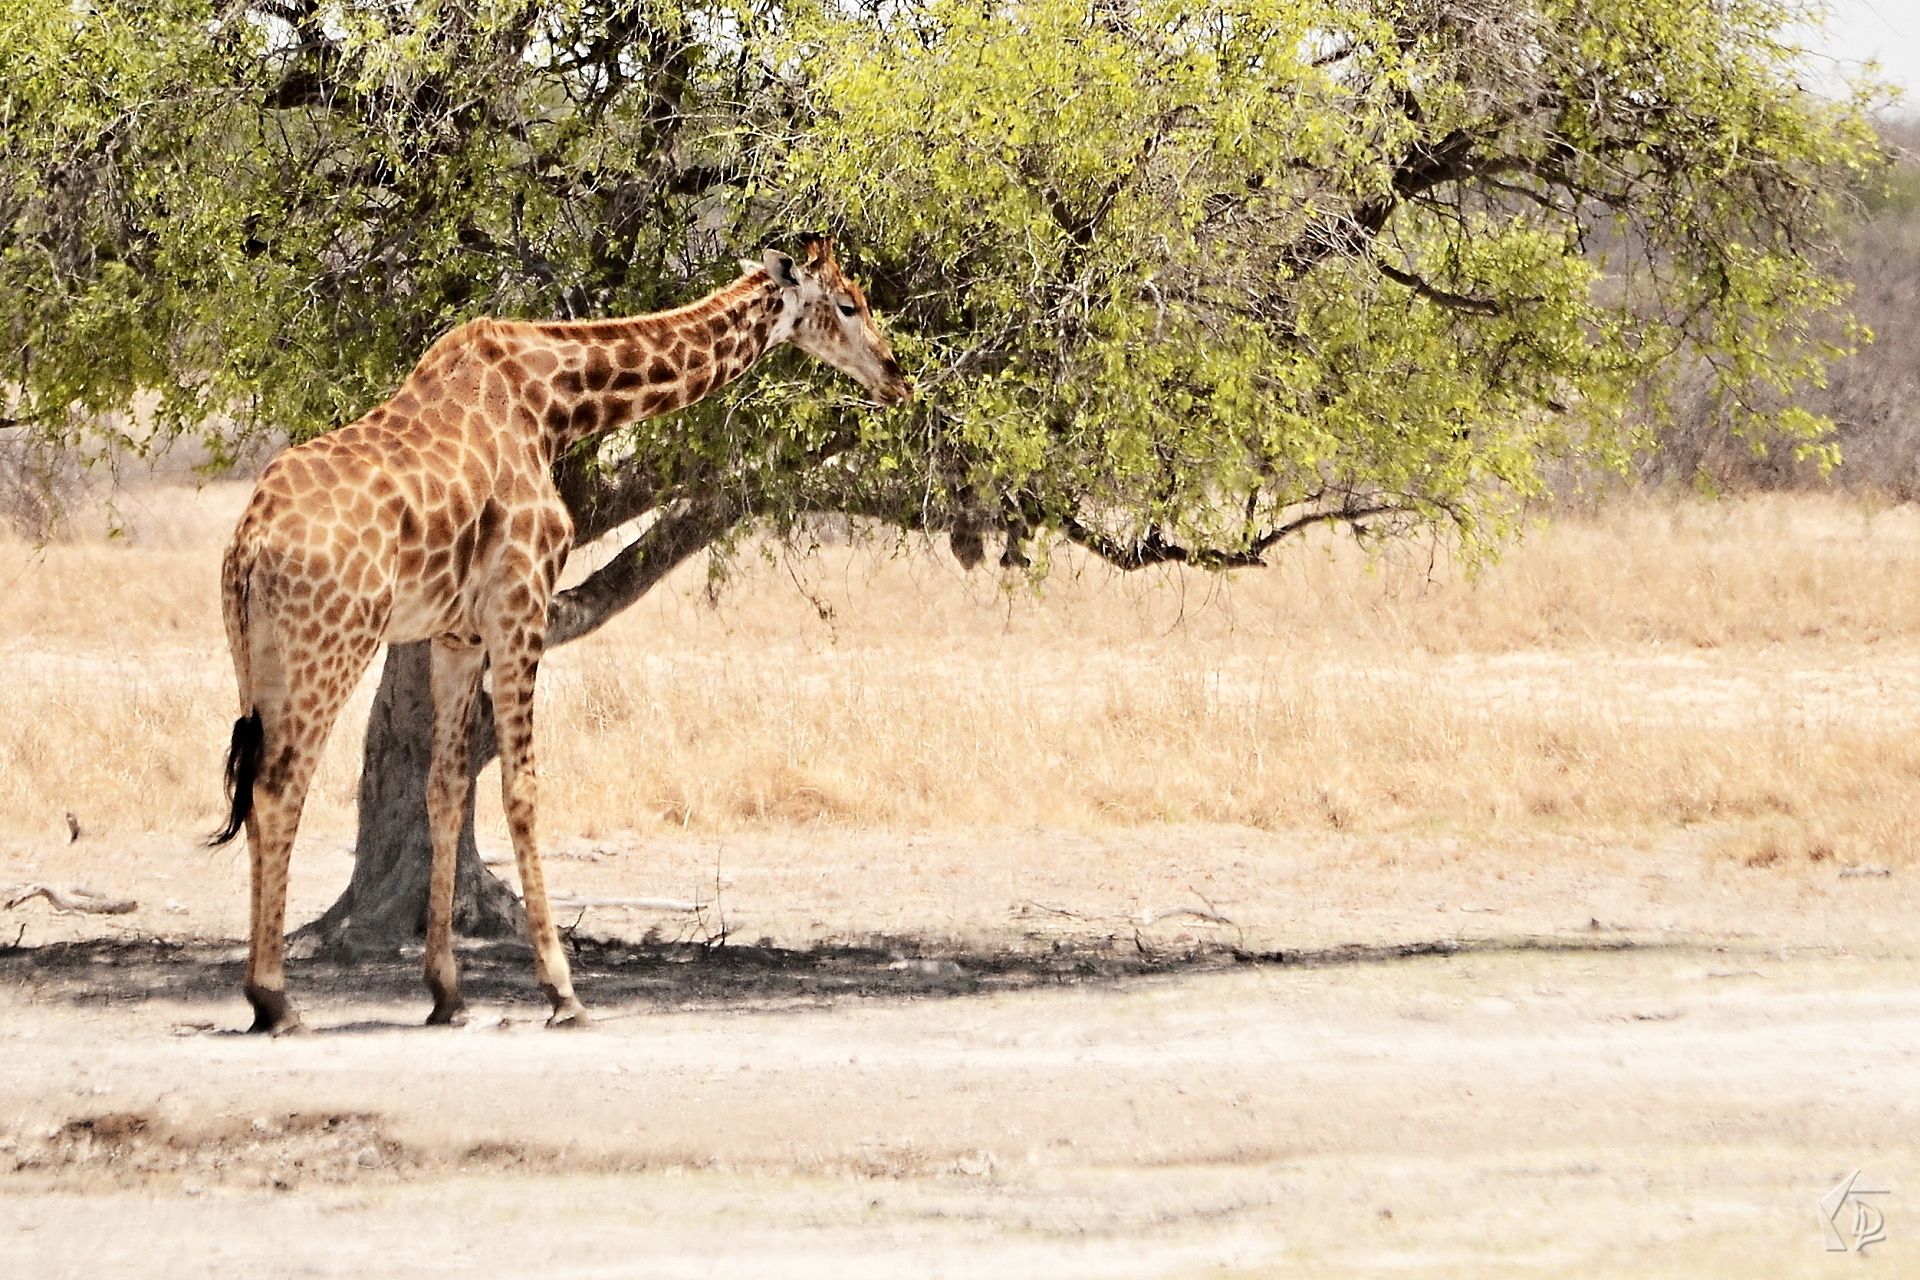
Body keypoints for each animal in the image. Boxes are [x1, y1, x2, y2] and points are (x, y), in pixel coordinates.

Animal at [210, 235, 910, 1034]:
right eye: (848, 303)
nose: (896, 375)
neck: (555, 402)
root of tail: (250, 541)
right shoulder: (522, 601)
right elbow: (522, 787)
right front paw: (563, 991)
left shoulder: (456, 634)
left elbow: (445, 789)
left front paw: (448, 994)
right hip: (334, 640)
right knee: (279, 788)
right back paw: (275, 1000)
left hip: (258, 656)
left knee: (256, 788)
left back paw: (269, 992)